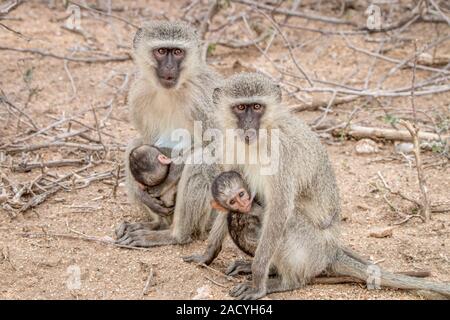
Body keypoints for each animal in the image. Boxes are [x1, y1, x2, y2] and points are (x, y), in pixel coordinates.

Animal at [116, 20, 221, 245]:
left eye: (178, 52)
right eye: (162, 51)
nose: (170, 67)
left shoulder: (202, 97)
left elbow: (221, 144)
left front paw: (173, 171)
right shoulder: (138, 94)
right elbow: (146, 142)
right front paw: (142, 194)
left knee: (201, 161)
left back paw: (173, 235)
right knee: (134, 144)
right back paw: (157, 225)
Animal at [184, 73, 450, 300]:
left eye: (257, 107)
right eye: (241, 108)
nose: (249, 126)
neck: (262, 137)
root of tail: (331, 252)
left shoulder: (283, 154)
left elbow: (279, 210)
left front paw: (258, 281)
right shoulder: (230, 145)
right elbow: (230, 194)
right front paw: (208, 254)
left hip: (313, 250)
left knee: (283, 220)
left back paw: (283, 280)